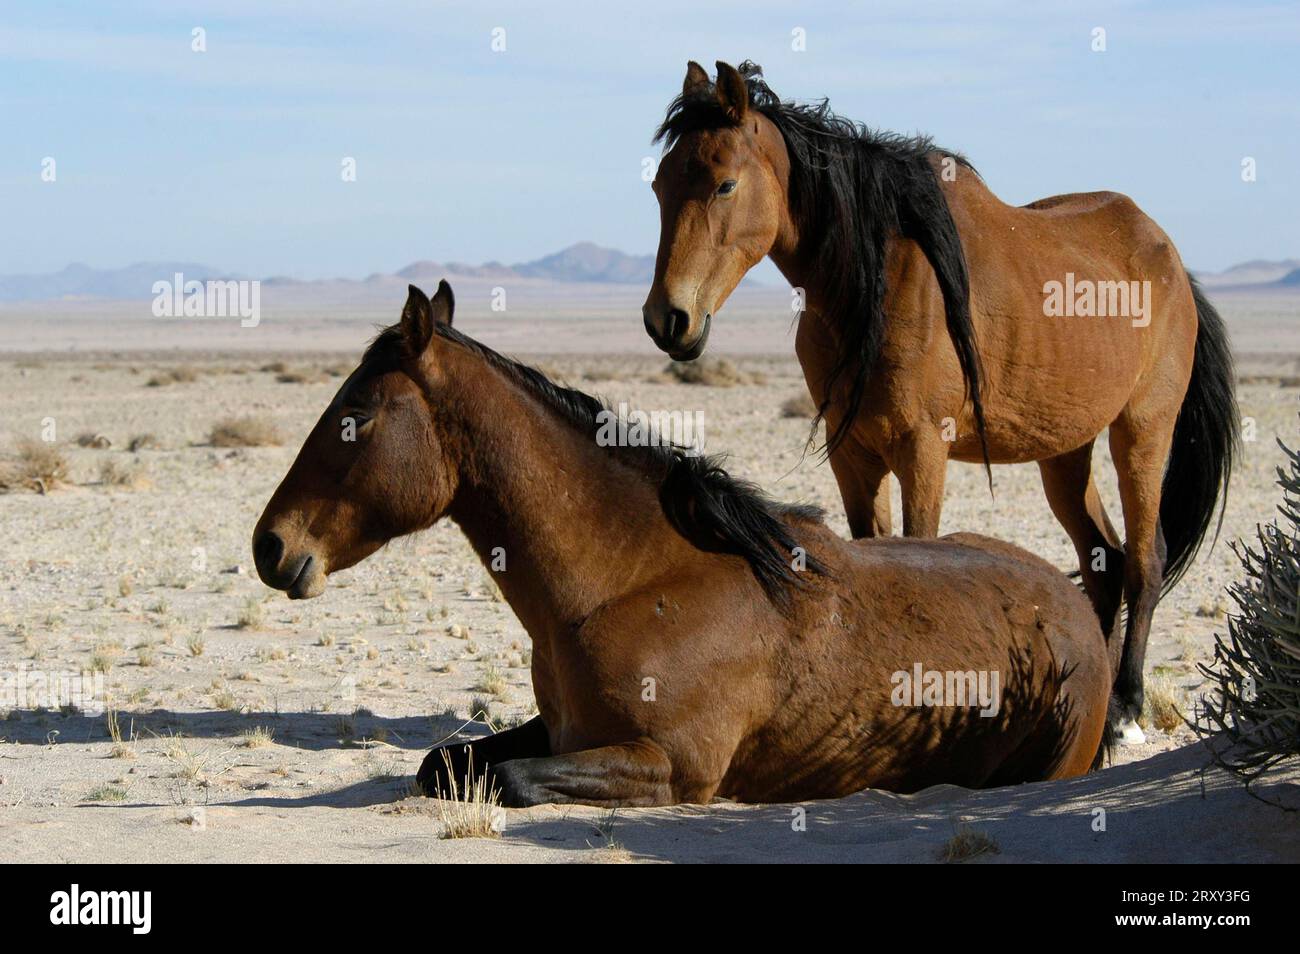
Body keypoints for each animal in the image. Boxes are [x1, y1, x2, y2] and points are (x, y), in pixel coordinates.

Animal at [253, 282, 1107, 805]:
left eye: (356, 413)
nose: (270, 545)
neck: (627, 583)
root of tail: (1079, 611)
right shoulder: (561, 730)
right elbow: (441, 764)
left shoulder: (670, 766)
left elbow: (515, 781)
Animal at [639, 61, 1237, 748]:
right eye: (659, 184)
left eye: (725, 183)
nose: (668, 319)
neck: (876, 275)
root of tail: (1172, 260)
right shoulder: (854, 457)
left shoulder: (923, 449)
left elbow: (919, 554)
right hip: (1065, 452)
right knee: (1104, 560)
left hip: (1142, 430)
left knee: (1143, 559)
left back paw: (1127, 709)